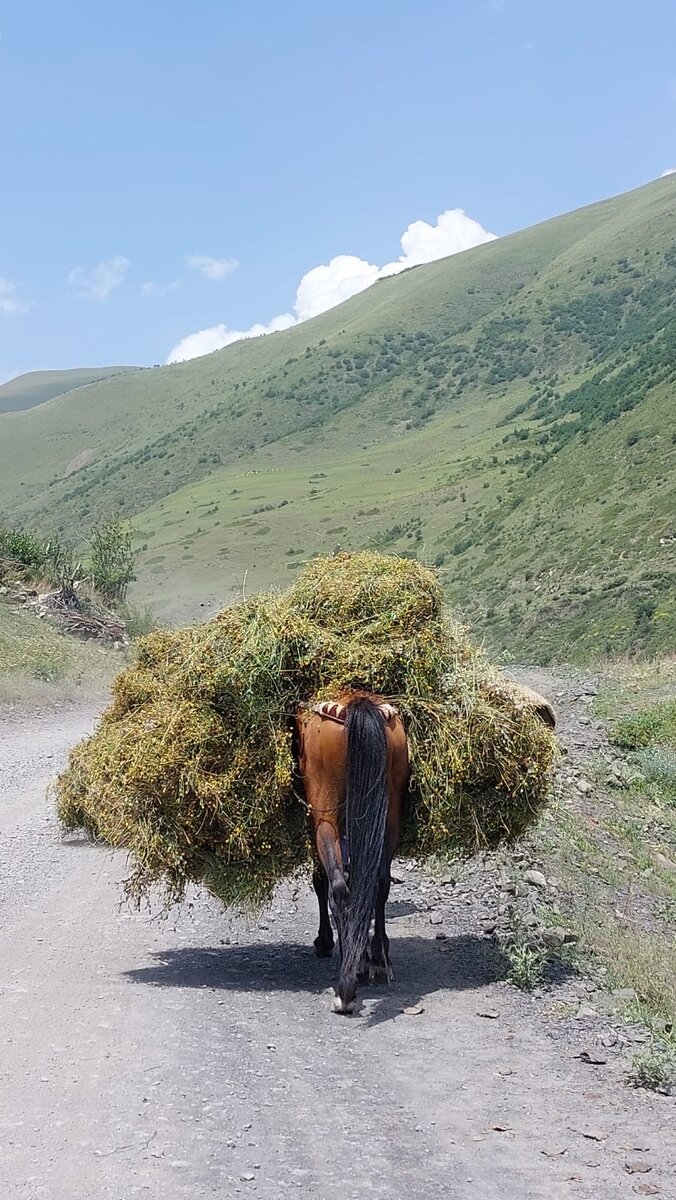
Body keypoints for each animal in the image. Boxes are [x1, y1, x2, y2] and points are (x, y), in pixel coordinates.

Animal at [295, 696, 408, 1012]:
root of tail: (357, 704)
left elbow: (321, 879)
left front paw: (324, 941)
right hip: (389, 815)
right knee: (379, 883)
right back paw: (378, 958)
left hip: (325, 814)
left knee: (339, 889)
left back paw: (345, 987)